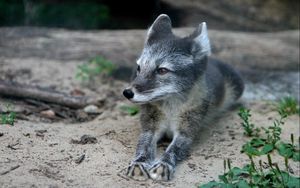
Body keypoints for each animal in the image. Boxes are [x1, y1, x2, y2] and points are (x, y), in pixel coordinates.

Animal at [122, 14, 244, 181]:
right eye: (139, 68)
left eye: (162, 70)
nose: (127, 93)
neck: (171, 109)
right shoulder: (149, 128)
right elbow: (143, 146)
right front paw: (139, 162)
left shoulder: (186, 133)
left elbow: (173, 150)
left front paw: (164, 164)